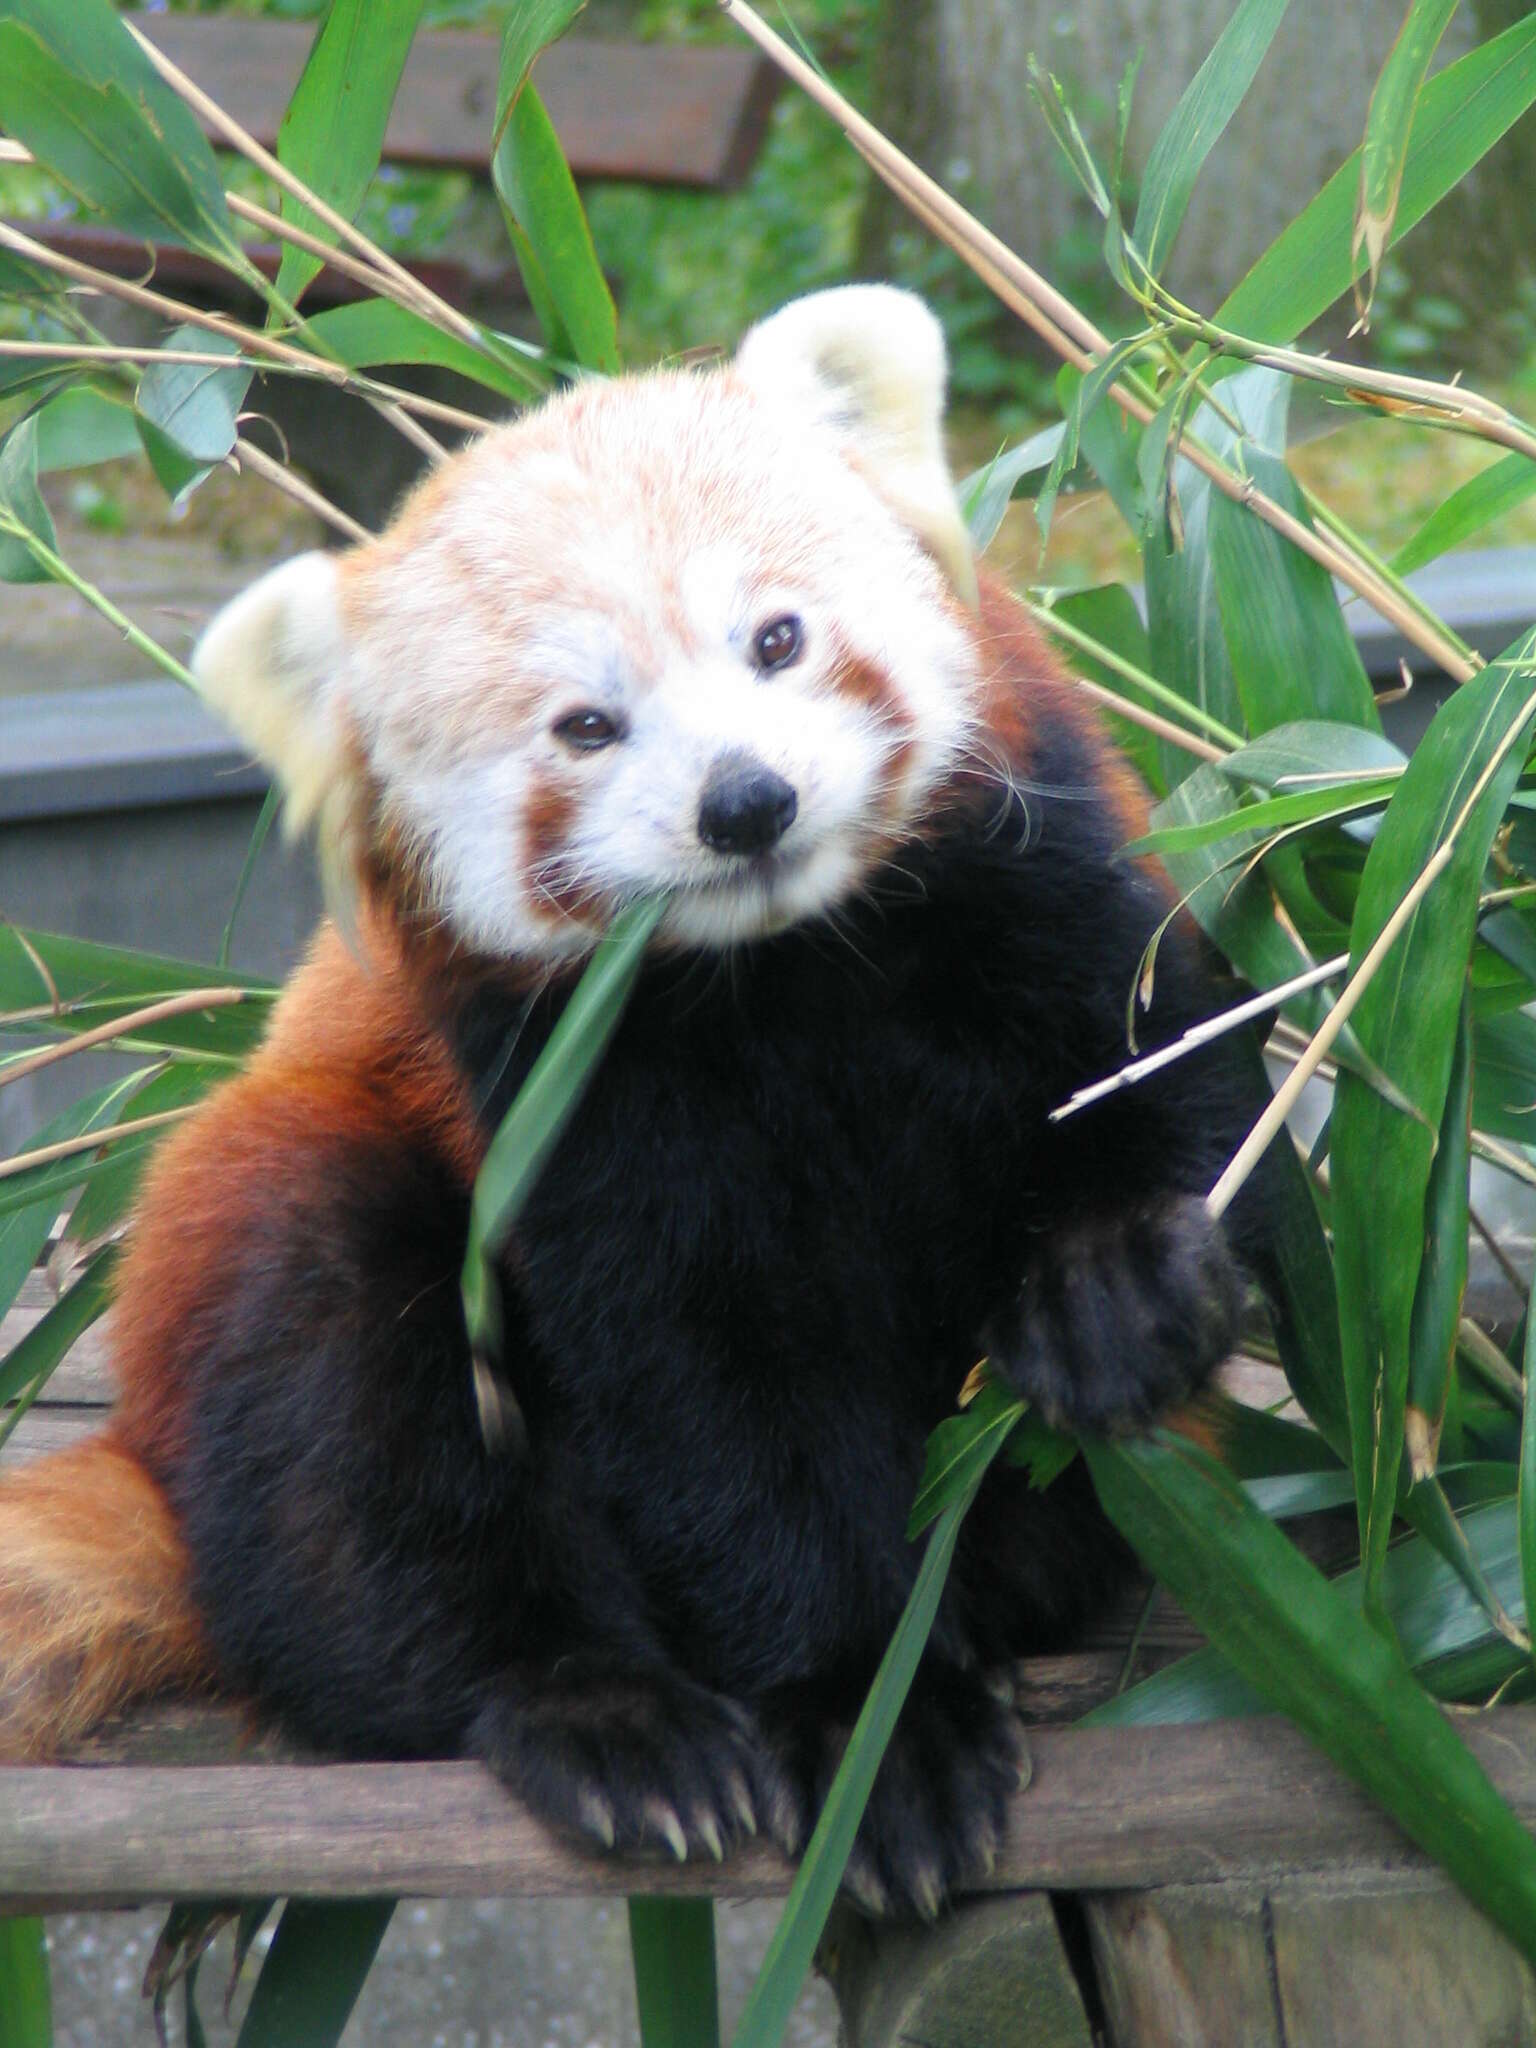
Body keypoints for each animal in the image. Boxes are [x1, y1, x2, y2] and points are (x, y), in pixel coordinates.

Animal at [0, 288, 1269, 1916]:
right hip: (280, 1211)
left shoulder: (1033, 867)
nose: (746, 801)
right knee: (338, 1403)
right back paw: (598, 1712)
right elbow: (706, 1394)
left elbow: (1168, 1066)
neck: (788, 971)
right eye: (586, 727)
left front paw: (1116, 1284)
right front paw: (866, 1716)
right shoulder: (565, 1093)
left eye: (778, 638)